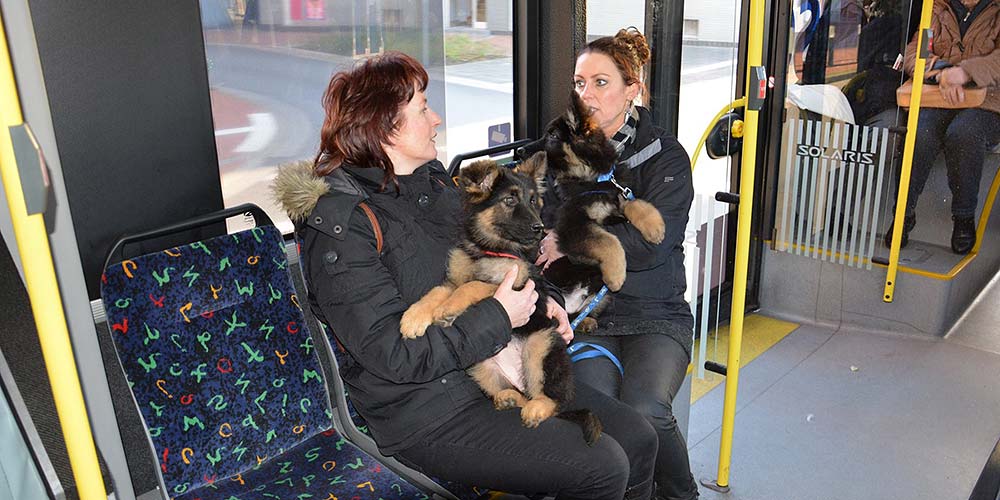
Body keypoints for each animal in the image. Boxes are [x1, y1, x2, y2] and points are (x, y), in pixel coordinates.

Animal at [398, 154, 600, 444]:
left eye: (533, 201)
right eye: (510, 200)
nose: (540, 229)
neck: (490, 249)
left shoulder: (515, 286)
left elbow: (474, 285)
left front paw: (447, 309)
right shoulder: (453, 281)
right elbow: (436, 292)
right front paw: (414, 318)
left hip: (541, 344)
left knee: (553, 398)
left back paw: (537, 408)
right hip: (480, 365)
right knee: (518, 393)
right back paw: (508, 398)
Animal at [536, 91, 668, 332]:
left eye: (552, 136)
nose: (521, 151)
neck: (594, 179)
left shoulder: (619, 196)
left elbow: (635, 204)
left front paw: (654, 227)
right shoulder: (573, 226)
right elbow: (607, 240)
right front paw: (616, 273)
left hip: (601, 296)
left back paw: (586, 321)